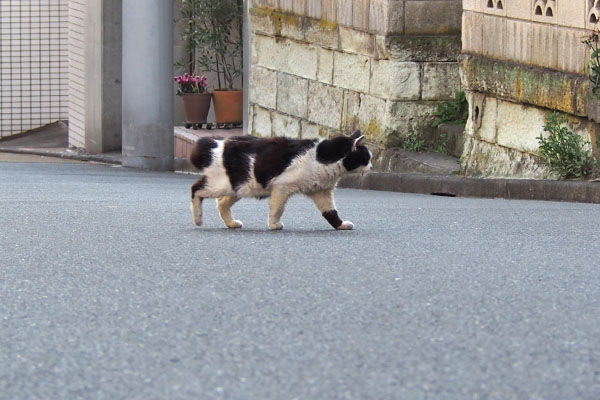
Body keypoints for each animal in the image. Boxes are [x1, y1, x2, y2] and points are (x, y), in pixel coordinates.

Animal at [191, 130, 370, 230]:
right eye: (367, 157)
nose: (371, 165)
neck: (322, 157)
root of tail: (216, 142)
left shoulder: (321, 192)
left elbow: (331, 213)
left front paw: (341, 225)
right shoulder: (282, 187)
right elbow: (277, 209)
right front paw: (274, 225)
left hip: (239, 187)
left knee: (221, 203)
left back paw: (231, 223)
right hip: (221, 184)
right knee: (196, 189)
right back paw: (198, 219)